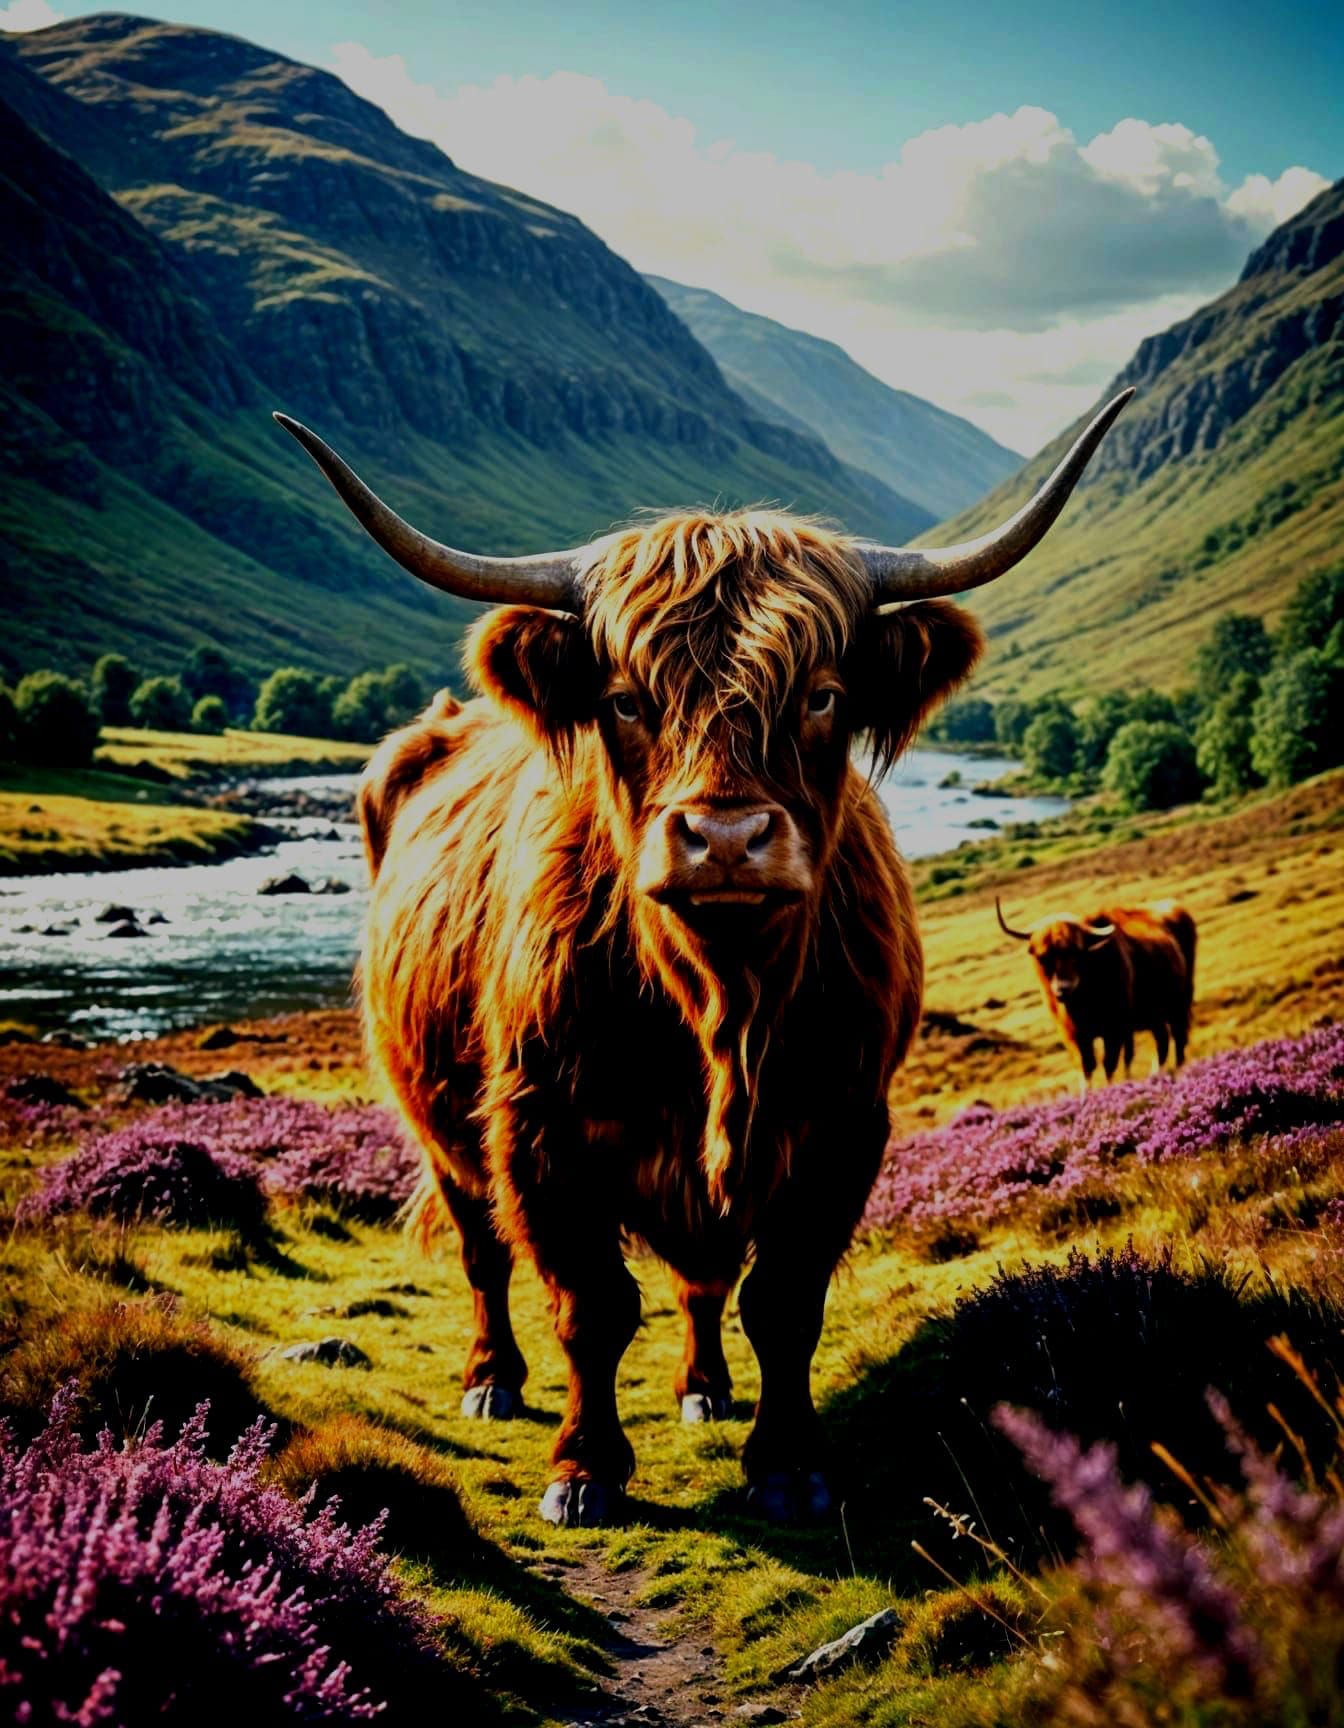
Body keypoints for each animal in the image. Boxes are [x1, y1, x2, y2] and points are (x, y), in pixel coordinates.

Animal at [275, 389, 1131, 1527]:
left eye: (821, 694)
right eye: (627, 699)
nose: (724, 837)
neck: (723, 1003)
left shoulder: (842, 1123)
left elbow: (781, 1301)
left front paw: (789, 1464)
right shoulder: (538, 1127)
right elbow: (591, 1305)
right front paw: (584, 1470)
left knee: (701, 1281)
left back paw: (705, 1389)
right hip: (438, 1119)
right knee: (480, 1248)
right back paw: (492, 1379)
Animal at [996, 895, 1196, 1091]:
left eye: (1077, 951)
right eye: (1043, 957)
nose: (1063, 989)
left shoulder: (1114, 1029)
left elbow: (1109, 1063)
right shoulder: (1073, 1035)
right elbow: (1086, 1066)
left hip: (1180, 1002)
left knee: (1178, 1036)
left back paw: (1178, 1070)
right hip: (1154, 1015)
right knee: (1162, 1040)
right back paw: (1155, 1075)